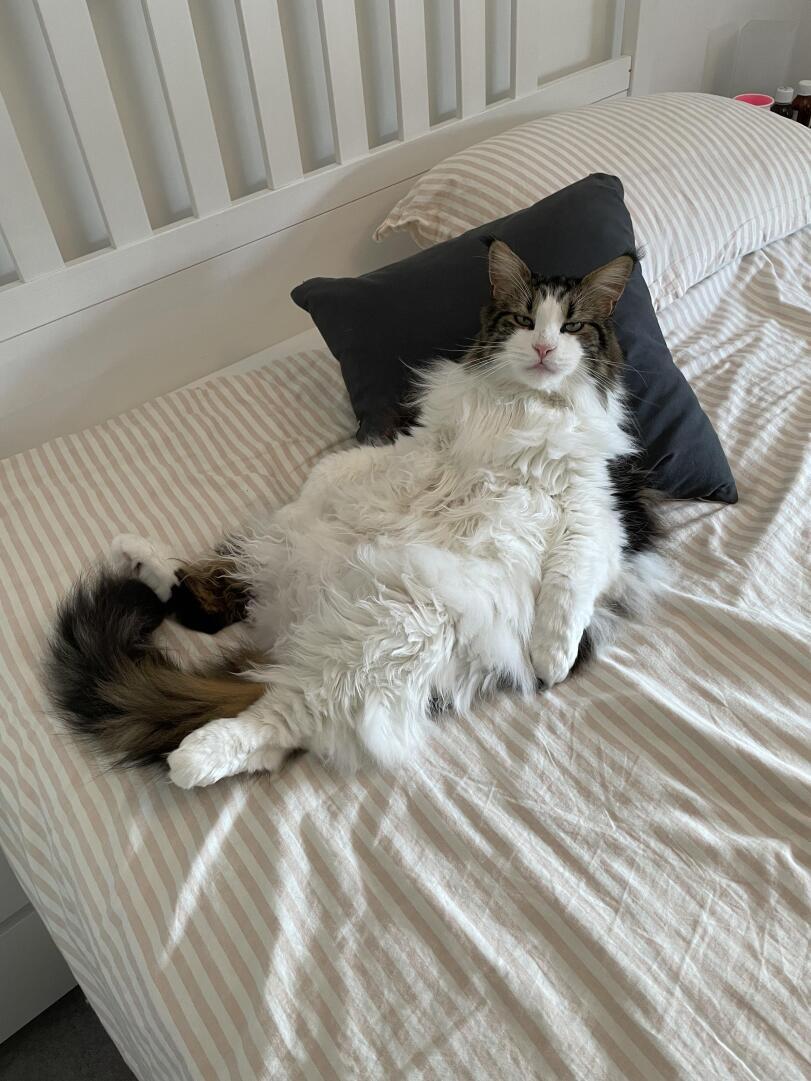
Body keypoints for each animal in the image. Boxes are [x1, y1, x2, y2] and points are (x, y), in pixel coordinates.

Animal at [45, 240, 665, 789]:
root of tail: (289, 628)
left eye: (572, 326)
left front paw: (552, 658)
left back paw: (196, 757)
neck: (524, 407)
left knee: (282, 722)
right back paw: (137, 558)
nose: (542, 350)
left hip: (393, 630)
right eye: (523, 320)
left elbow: (568, 586)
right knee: (201, 600)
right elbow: (334, 473)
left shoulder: (600, 512)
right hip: (285, 562)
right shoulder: (414, 442)